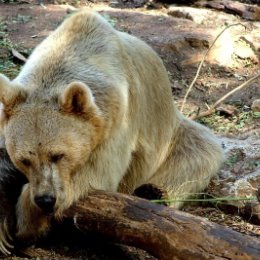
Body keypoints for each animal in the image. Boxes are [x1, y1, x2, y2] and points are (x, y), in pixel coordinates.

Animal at [0, 9, 223, 254]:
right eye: (24, 159)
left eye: (58, 155)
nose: (46, 199)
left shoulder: (119, 116)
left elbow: (99, 173)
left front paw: (27, 215)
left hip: (172, 133)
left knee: (200, 152)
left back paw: (153, 191)